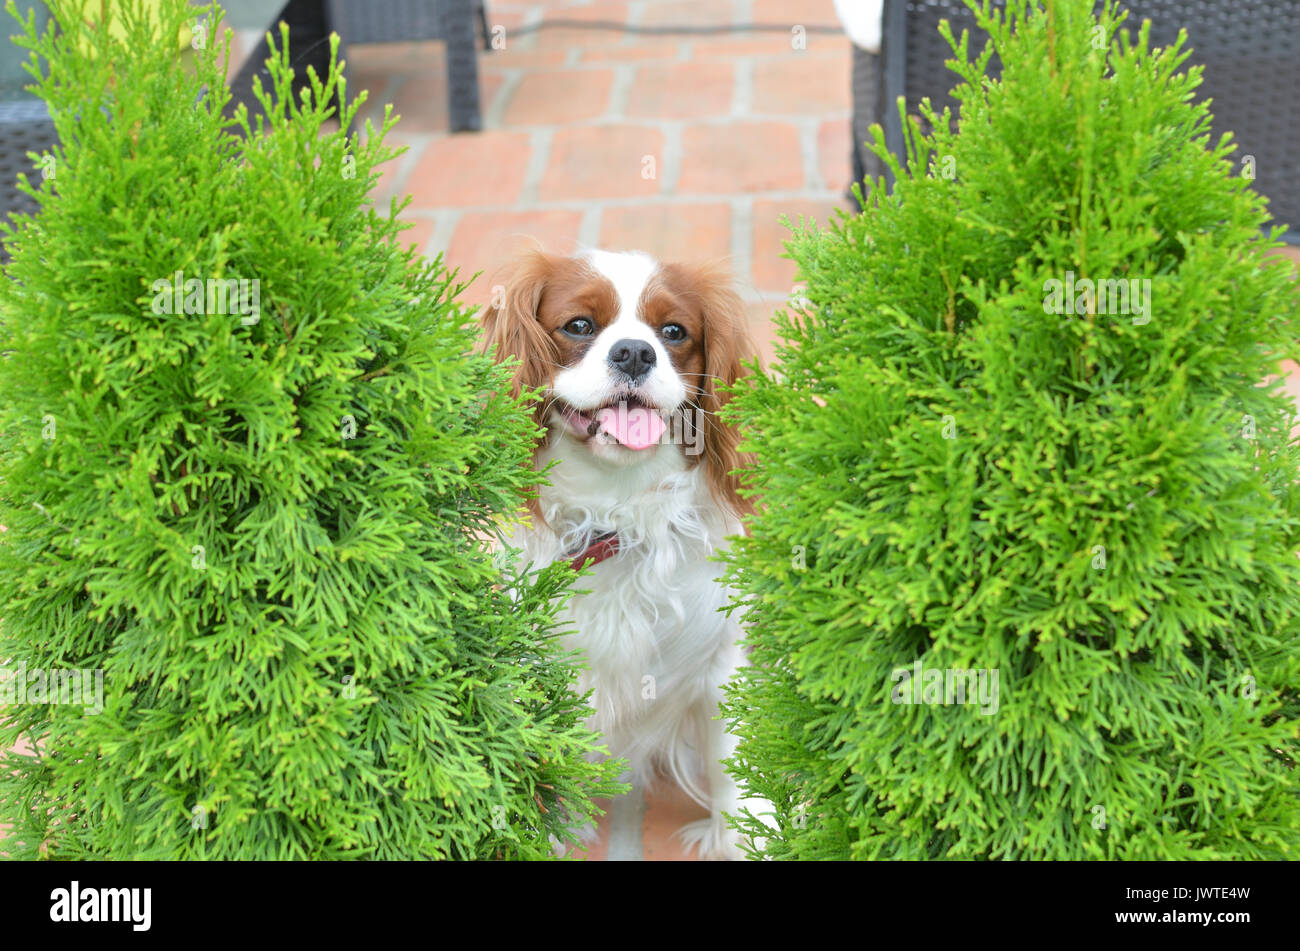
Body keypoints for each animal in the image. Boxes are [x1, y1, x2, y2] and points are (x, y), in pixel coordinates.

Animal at [478, 249, 759, 857]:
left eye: (673, 332)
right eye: (580, 325)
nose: (634, 351)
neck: (619, 513)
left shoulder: (721, 661)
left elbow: (738, 778)